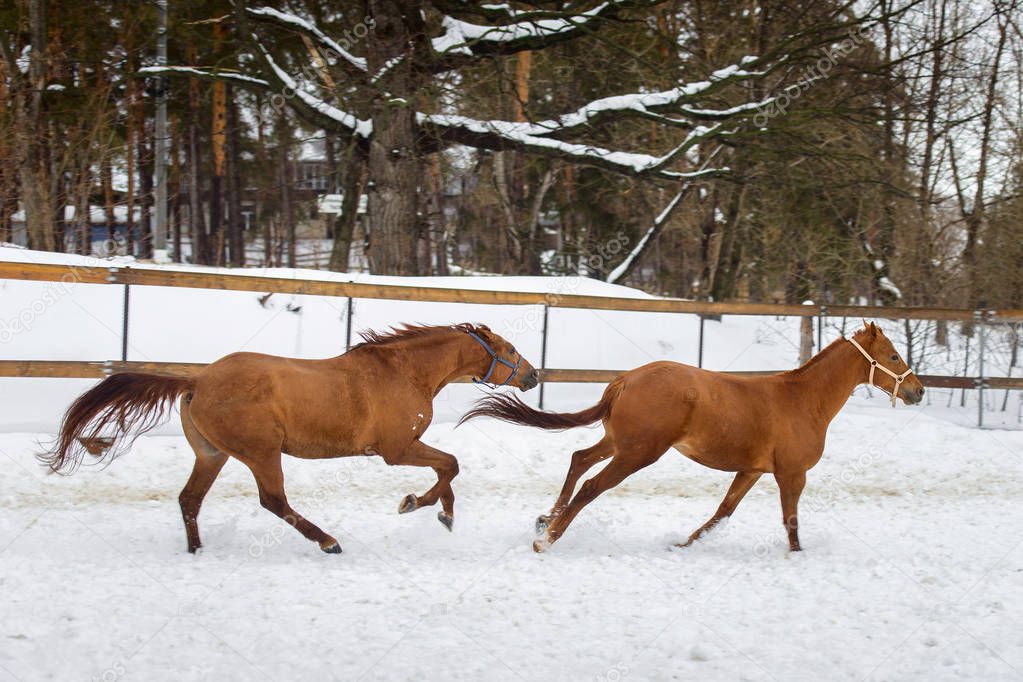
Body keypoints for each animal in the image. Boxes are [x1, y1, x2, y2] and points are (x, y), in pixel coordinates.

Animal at [41, 325, 536, 556]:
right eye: (510, 350)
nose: (532, 376)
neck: (403, 372)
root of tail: (197, 380)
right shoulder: (396, 450)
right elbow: (449, 463)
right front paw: (417, 504)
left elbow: (448, 467)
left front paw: (443, 515)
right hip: (261, 452)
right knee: (273, 501)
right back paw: (329, 541)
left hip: (213, 454)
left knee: (189, 499)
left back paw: (197, 550)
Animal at [460, 321, 924, 556]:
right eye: (894, 355)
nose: (918, 391)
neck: (803, 400)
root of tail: (626, 380)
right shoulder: (791, 474)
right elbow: (790, 521)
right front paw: (797, 554)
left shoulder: (752, 471)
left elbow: (723, 512)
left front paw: (683, 545)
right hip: (639, 452)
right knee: (592, 485)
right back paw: (547, 538)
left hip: (620, 443)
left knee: (579, 458)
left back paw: (546, 518)